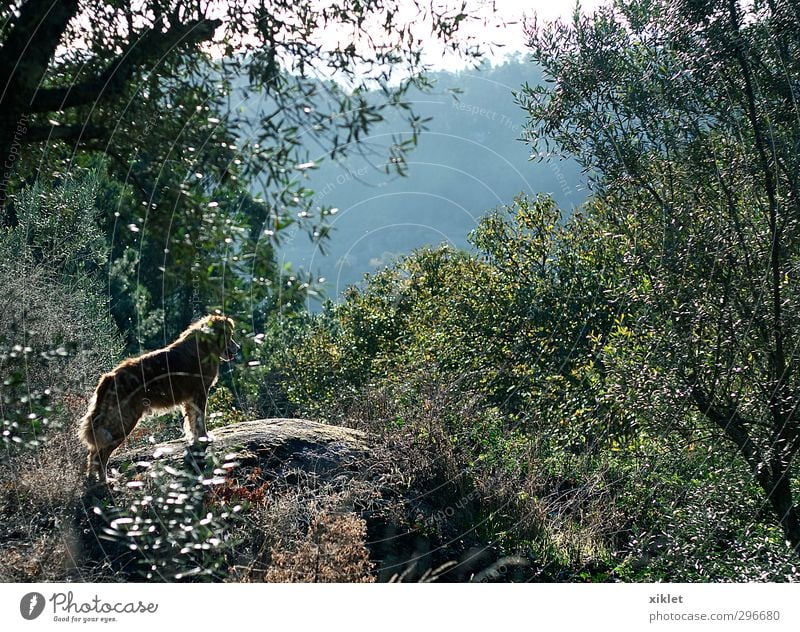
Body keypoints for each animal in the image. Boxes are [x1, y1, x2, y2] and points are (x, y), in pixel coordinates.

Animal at [79, 314, 239, 482]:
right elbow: (200, 420)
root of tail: (110, 376)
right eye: (229, 336)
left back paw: (92, 479)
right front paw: (204, 438)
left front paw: (195, 439)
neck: (205, 345)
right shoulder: (200, 393)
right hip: (123, 422)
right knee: (101, 454)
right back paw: (105, 480)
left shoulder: (190, 400)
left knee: (93, 452)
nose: (238, 348)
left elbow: (192, 423)